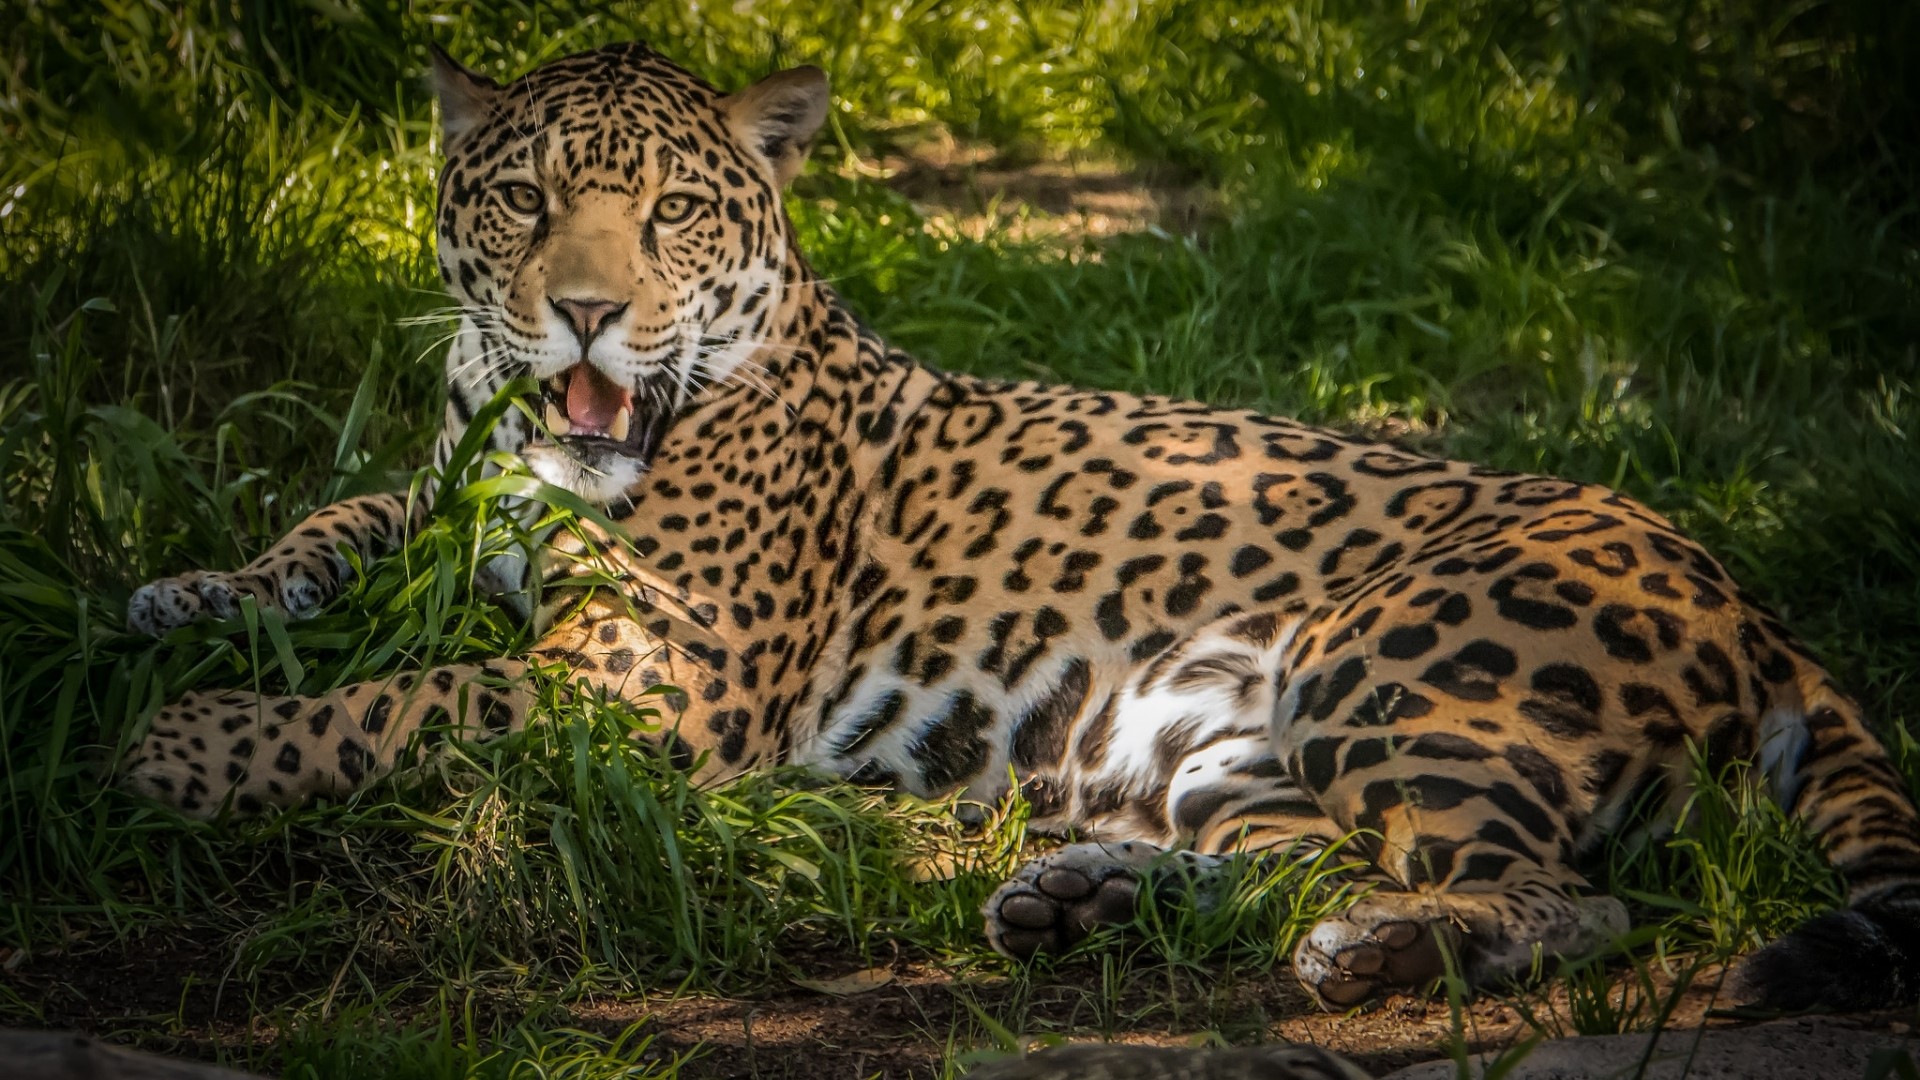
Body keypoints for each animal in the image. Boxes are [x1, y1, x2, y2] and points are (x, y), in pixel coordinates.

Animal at [121, 41, 1920, 1013]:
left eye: (675, 212)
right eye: (522, 199)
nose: (581, 313)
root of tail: (1751, 597)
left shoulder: (653, 681)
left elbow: (396, 704)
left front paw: (179, 748)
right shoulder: (442, 502)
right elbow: (332, 526)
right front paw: (174, 598)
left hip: (1385, 667)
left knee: (1565, 900)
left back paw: (1371, 957)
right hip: (1228, 746)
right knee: (1308, 856)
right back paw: (1077, 901)